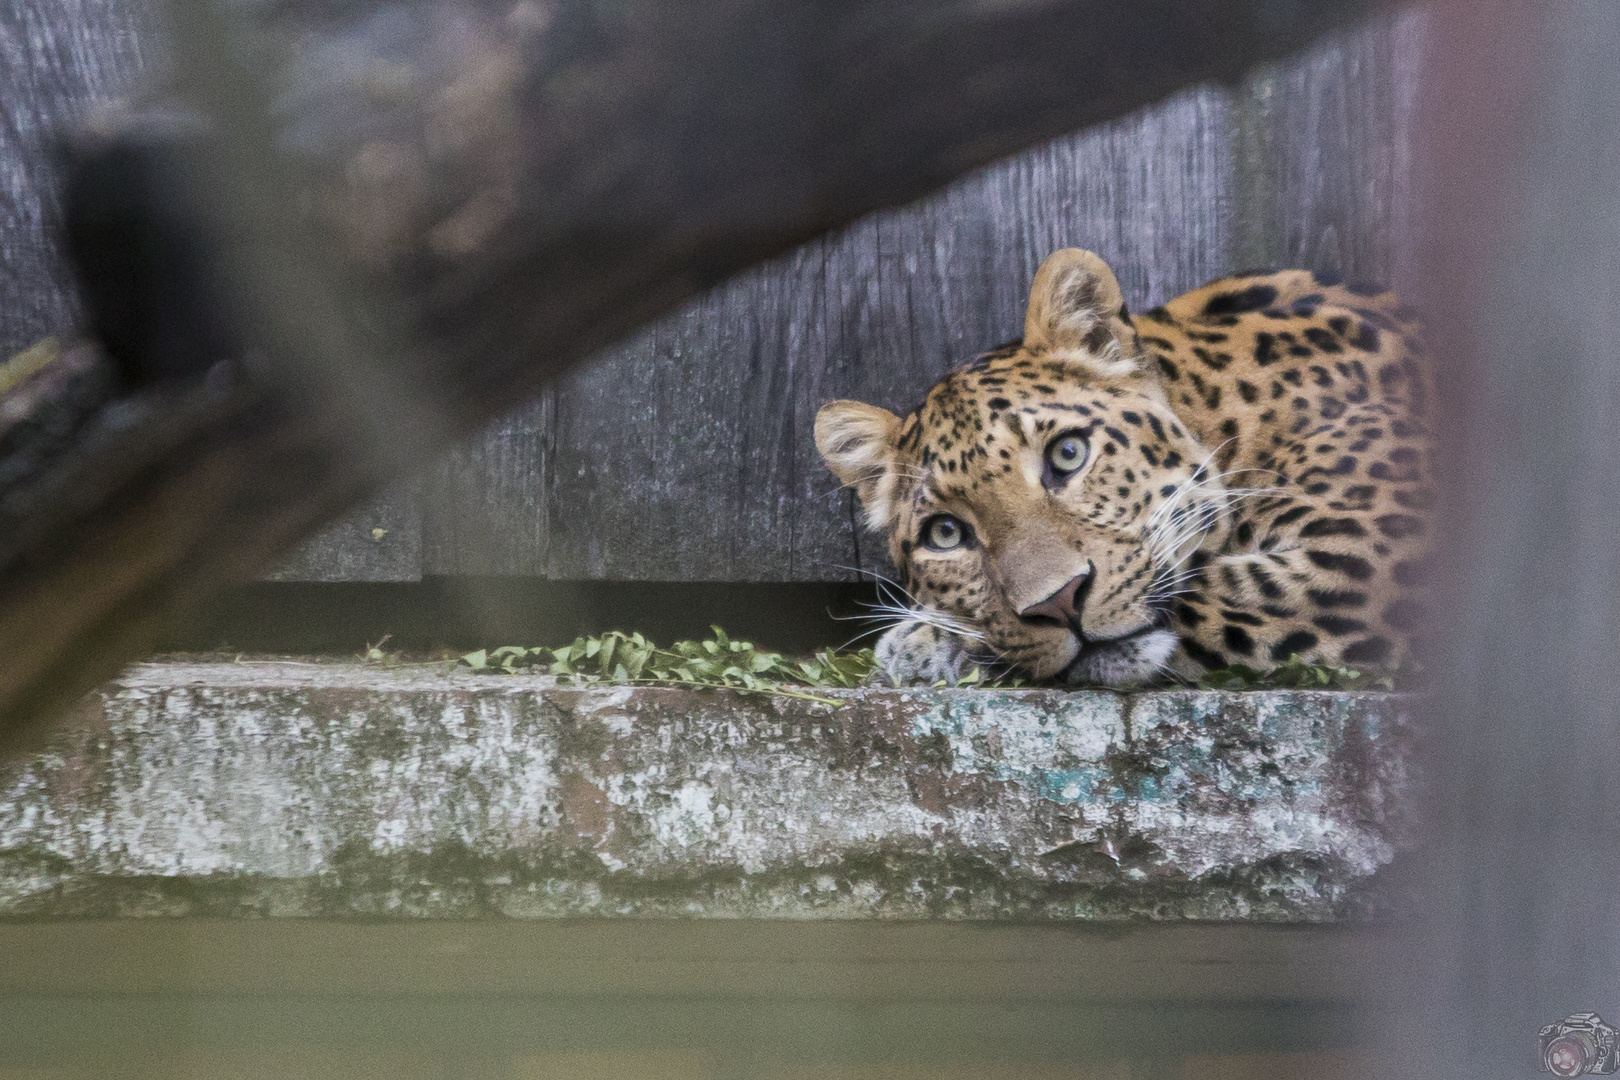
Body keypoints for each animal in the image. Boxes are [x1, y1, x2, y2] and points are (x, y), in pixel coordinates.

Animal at [816, 246, 1438, 689]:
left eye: (1067, 455)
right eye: (945, 533)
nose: (1058, 603)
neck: (1230, 415)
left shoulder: (1373, 545)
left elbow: (1214, 587)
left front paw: (925, 644)